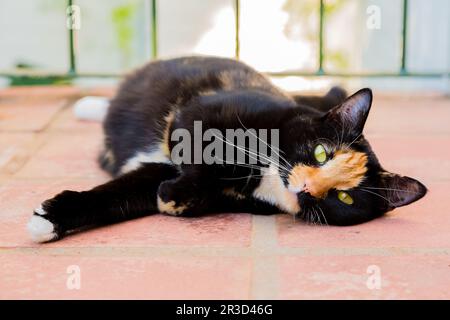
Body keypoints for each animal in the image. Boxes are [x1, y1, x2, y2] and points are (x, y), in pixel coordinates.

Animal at [26, 57, 428, 242]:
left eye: (345, 198)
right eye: (320, 152)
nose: (307, 188)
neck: (265, 174)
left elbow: (123, 195)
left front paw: (175, 198)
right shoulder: (197, 113)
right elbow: (202, 149)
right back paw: (89, 105)